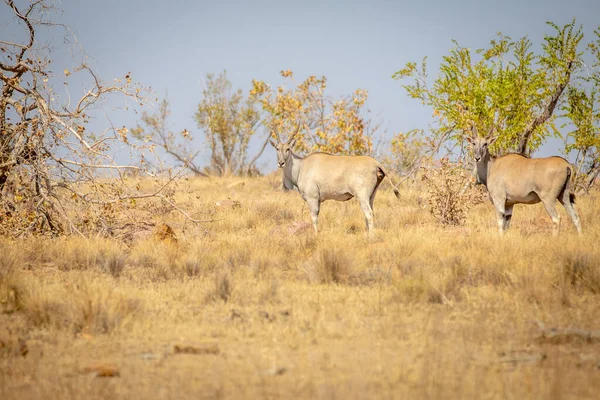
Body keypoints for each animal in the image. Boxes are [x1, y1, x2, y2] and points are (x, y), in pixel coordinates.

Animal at [270, 130, 398, 234]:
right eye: (277, 148)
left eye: (288, 149)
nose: (281, 163)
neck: (302, 165)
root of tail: (376, 163)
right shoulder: (318, 200)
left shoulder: (313, 198)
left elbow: (314, 218)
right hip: (371, 197)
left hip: (362, 196)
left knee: (369, 214)